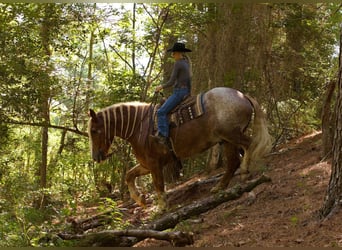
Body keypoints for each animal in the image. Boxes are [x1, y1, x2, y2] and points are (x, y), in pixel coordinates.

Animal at [88, 87, 272, 209]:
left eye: (94, 131)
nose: (96, 156)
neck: (139, 126)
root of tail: (241, 95)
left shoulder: (154, 164)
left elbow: (158, 184)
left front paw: (162, 208)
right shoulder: (147, 164)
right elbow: (129, 175)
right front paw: (140, 199)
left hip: (231, 135)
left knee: (248, 146)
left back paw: (244, 171)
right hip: (226, 140)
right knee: (233, 162)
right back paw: (220, 186)